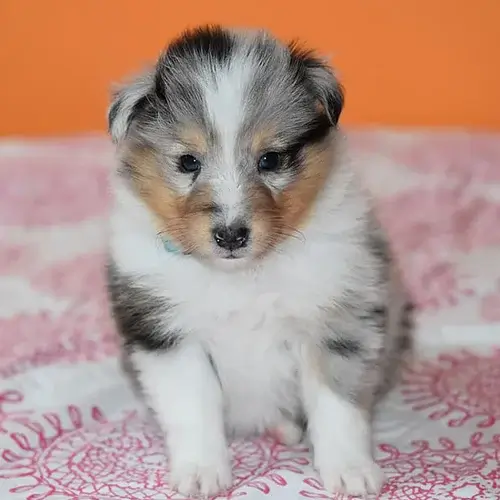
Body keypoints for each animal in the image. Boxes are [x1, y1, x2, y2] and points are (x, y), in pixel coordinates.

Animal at [104, 26, 410, 496]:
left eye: (271, 159)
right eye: (188, 162)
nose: (231, 234)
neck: (241, 277)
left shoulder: (339, 315)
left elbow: (336, 400)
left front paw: (350, 471)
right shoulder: (167, 332)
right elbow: (193, 405)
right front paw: (201, 472)